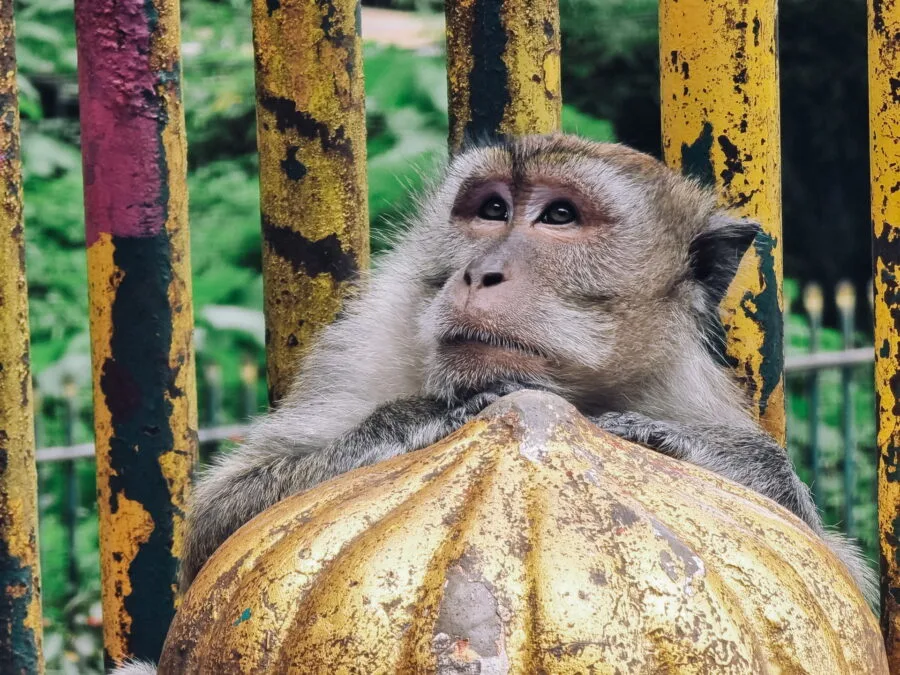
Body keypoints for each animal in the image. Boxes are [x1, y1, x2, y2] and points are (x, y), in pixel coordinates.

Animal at [177, 133, 875, 608]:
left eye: (560, 216)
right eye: (491, 209)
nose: (480, 272)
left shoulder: (690, 391)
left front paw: (722, 457)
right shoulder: (363, 346)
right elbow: (209, 532)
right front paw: (411, 422)